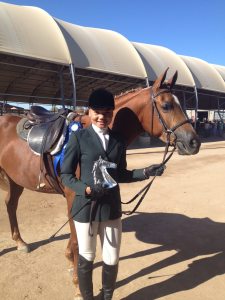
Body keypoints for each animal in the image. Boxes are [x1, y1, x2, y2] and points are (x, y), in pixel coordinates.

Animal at [0, 69, 200, 298]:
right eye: (166, 105)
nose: (194, 142)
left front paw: (70, 264)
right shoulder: (76, 196)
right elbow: (78, 242)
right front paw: (78, 287)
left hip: (15, 180)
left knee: (10, 205)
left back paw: (20, 242)